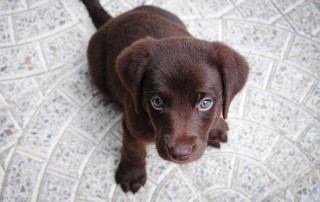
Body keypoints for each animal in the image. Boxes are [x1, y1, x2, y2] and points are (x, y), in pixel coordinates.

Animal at [81, 0, 249, 193]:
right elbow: (133, 149)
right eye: (157, 102)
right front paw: (131, 173)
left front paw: (216, 126)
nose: (180, 153)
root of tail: (113, 20)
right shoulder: (132, 124)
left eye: (205, 103)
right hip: (97, 73)